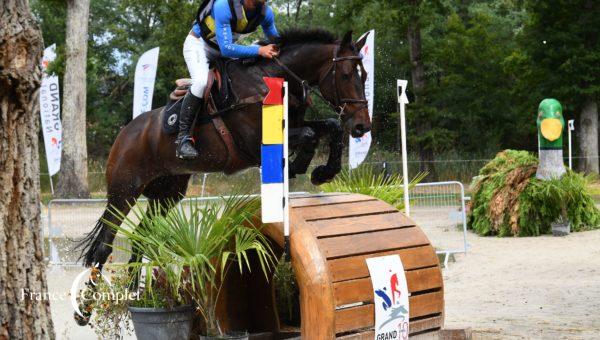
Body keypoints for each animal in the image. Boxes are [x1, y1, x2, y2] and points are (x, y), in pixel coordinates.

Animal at [78, 28, 370, 268]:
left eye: (365, 75)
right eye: (346, 75)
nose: (362, 127)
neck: (272, 79)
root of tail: (124, 134)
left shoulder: (296, 124)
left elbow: (331, 126)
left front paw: (322, 172)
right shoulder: (254, 144)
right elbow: (311, 134)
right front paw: (301, 165)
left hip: (167, 193)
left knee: (141, 237)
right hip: (123, 192)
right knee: (104, 246)